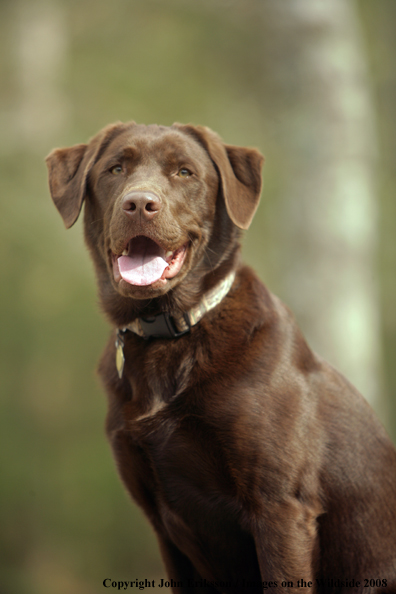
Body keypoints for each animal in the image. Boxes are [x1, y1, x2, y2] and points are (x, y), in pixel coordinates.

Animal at [46, 122, 396, 588]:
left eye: (184, 172)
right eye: (115, 168)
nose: (139, 203)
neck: (169, 334)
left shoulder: (280, 508)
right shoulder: (164, 526)